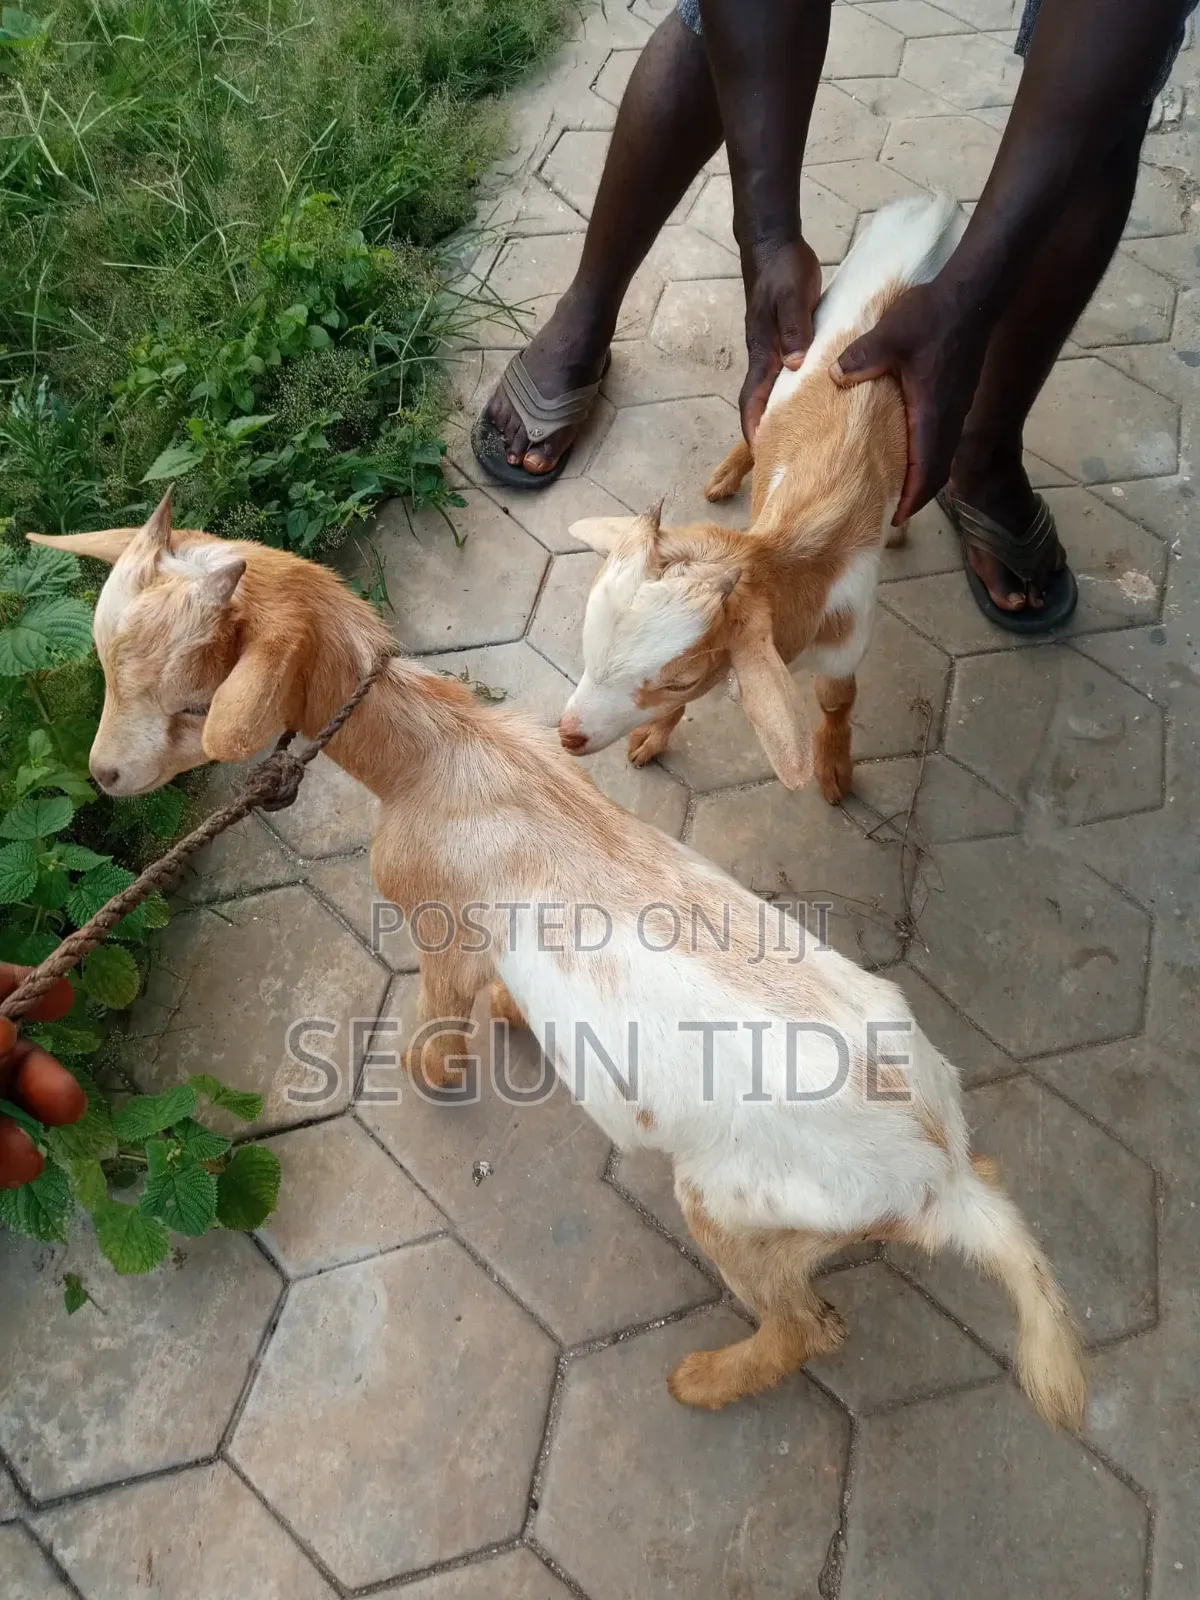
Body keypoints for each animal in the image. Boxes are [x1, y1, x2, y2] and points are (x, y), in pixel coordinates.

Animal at [30, 498, 1086, 1428]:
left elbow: (436, 1020)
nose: (104, 778)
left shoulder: (441, 926)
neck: (435, 760)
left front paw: (440, 1069)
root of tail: (942, 1178)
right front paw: (510, 1017)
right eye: (106, 669)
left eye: (193, 703)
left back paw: (702, 1381)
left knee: (806, 1327)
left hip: (745, 1211)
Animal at [557, 194, 965, 803]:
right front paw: (653, 736)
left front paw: (834, 770)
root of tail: (933, 206)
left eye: (678, 676)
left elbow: (835, 701)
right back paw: (728, 473)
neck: (798, 545)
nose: (568, 735)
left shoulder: (848, 641)